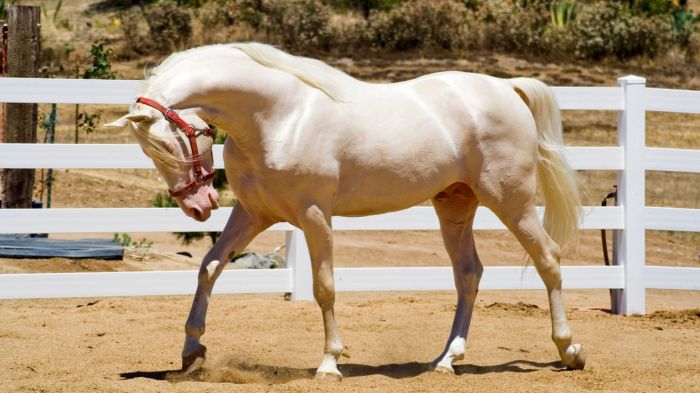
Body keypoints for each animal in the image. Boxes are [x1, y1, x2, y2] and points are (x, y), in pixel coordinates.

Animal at [108, 43, 584, 380]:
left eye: (177, 140)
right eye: (151, 151)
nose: (198, 206)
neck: (278, 115)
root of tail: (506, 88)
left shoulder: (315, 215)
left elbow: (324, 287)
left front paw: (329, 364)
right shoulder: (254, 213)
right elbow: (209, 267)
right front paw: (192, 353)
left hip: (510, 200)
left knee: (548, 260)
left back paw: (569, 351)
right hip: (455, 204)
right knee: (468, 273)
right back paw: (447, 360)